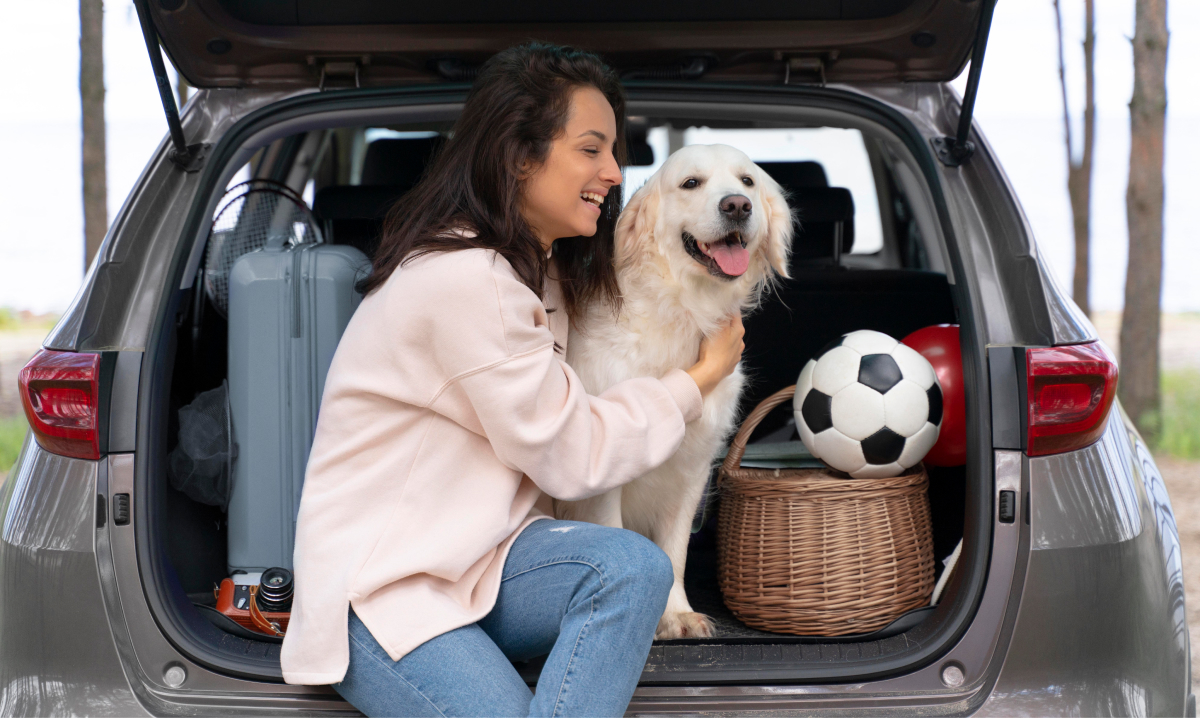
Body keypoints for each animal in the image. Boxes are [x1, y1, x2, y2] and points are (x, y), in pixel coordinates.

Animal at [556, 143, 792, 638]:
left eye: (747, 181)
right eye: (691, 184)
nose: (737, 206)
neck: (685, 310)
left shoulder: (692, 470)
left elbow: (675, 551)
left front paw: (675, 613)